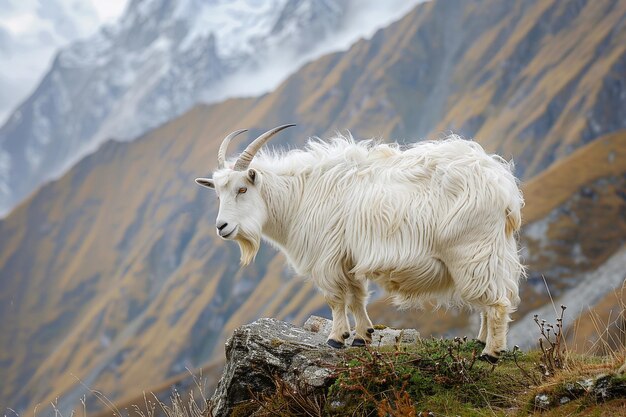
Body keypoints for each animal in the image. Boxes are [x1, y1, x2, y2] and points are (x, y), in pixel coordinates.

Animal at [194, 124, 520, 360]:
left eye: (242, 189)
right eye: (218, 193)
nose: (222, 227)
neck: (300, 194)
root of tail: (502, 185)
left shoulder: (327, 256)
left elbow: (337, 299)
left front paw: (336, 339)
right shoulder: (348, 257)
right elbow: (356, 297)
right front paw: (363, 336)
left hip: (471, 252)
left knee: (497, 302)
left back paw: (491, 353)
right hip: (491, 253)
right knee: (493, 297)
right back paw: (481, 341)